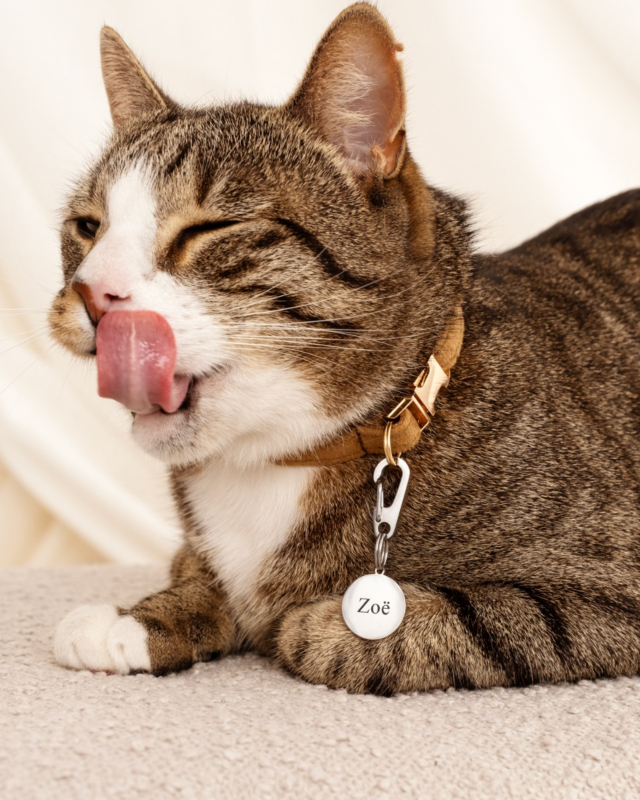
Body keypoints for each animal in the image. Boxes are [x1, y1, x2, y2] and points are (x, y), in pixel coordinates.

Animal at [50, 3, 640, 692]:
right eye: (88, 227)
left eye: (210, 228)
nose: (93, 293)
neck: (280, 462)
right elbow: (197, 570)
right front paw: (140, 617)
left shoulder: (611, 576)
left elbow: (460, 620)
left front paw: (316, 622)